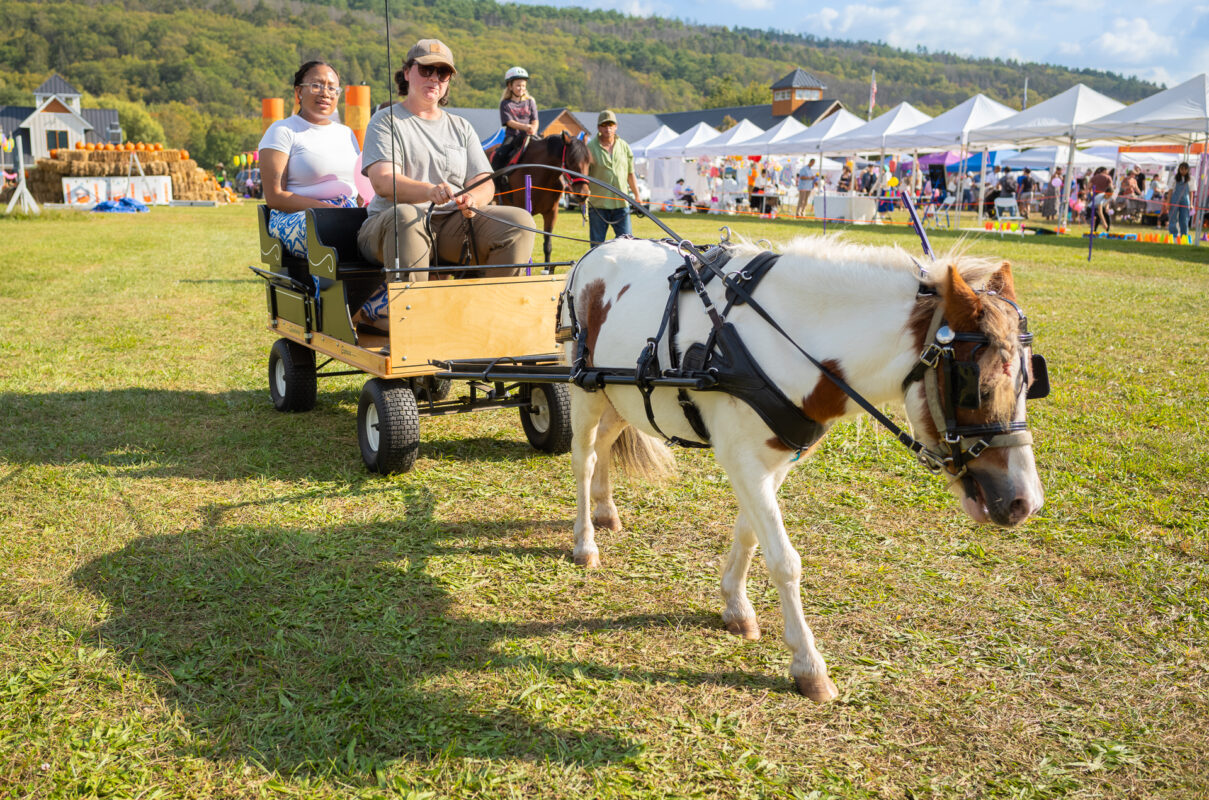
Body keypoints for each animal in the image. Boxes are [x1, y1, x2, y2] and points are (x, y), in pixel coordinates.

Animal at [560, 236, 1044, 700]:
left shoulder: (773, 462)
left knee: (606, 443)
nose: (1026, 502)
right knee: (584, 458)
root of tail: (598, 250)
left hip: (620, 396)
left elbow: (749, 534)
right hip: (583, 387)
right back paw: (585, 541)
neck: (785, 342)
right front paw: (808, 665)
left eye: (1032, 381)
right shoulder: (741, 458)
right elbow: (783, 559)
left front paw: (735, 605)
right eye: (976, 387)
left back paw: (606, 511)